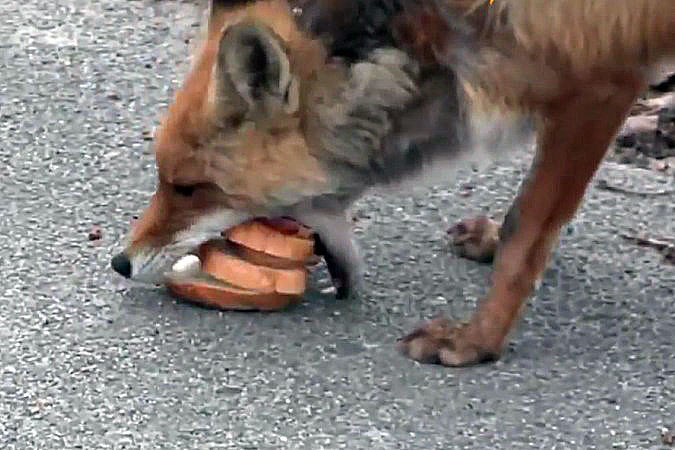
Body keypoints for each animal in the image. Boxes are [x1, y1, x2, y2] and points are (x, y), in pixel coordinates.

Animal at [111, 0, 675, 367]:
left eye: (188, 188)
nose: (121, 263)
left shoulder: (600, 86)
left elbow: (526, 229)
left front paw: (476, 342)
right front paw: (491, 244)